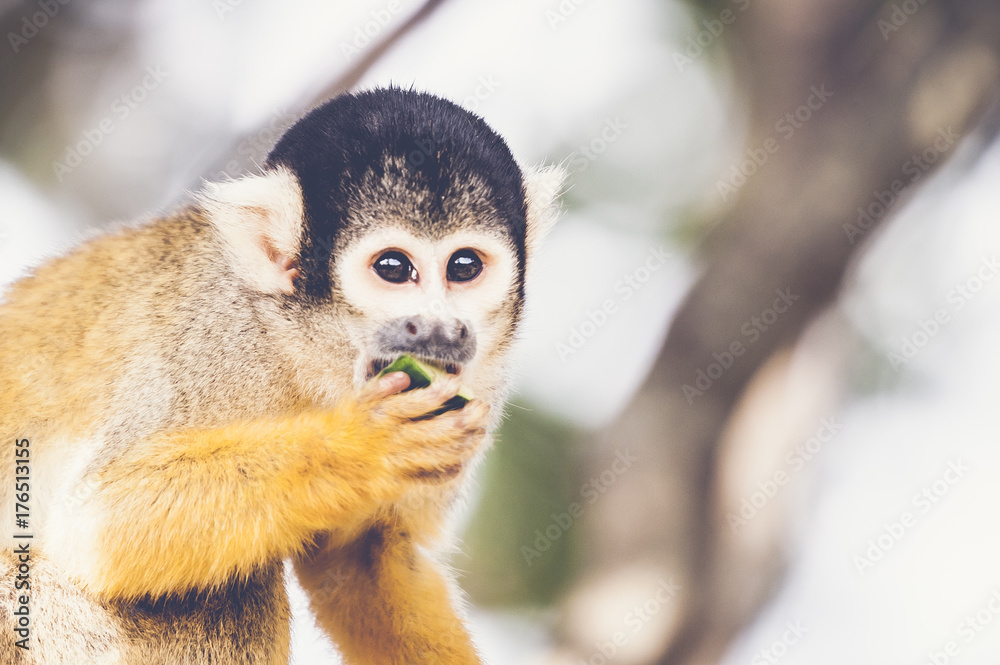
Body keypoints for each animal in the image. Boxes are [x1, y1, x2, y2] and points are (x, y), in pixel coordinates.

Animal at [0, 86, 563, 664]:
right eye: (393, 268)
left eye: (464, 266)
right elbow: (96, 523)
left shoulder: (482, 385)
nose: (440, 331)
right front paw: (363, 448)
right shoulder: (211, 334)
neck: (309, 351)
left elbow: (359, 558)